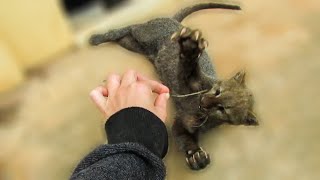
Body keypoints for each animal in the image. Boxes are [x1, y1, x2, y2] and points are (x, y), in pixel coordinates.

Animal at [89, 2, 258, 169]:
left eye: (222, 109)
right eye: (218, 91)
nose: (204, 102)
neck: (199, 109)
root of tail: (173, 20)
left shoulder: (183, 125)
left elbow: (186, 140)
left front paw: (196, 157)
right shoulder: (189, 81)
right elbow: (189, 67)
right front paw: (192, 47)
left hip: (133, 44)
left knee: (124, 36)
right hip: (143, 34)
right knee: (126, 28)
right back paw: (95, 38)